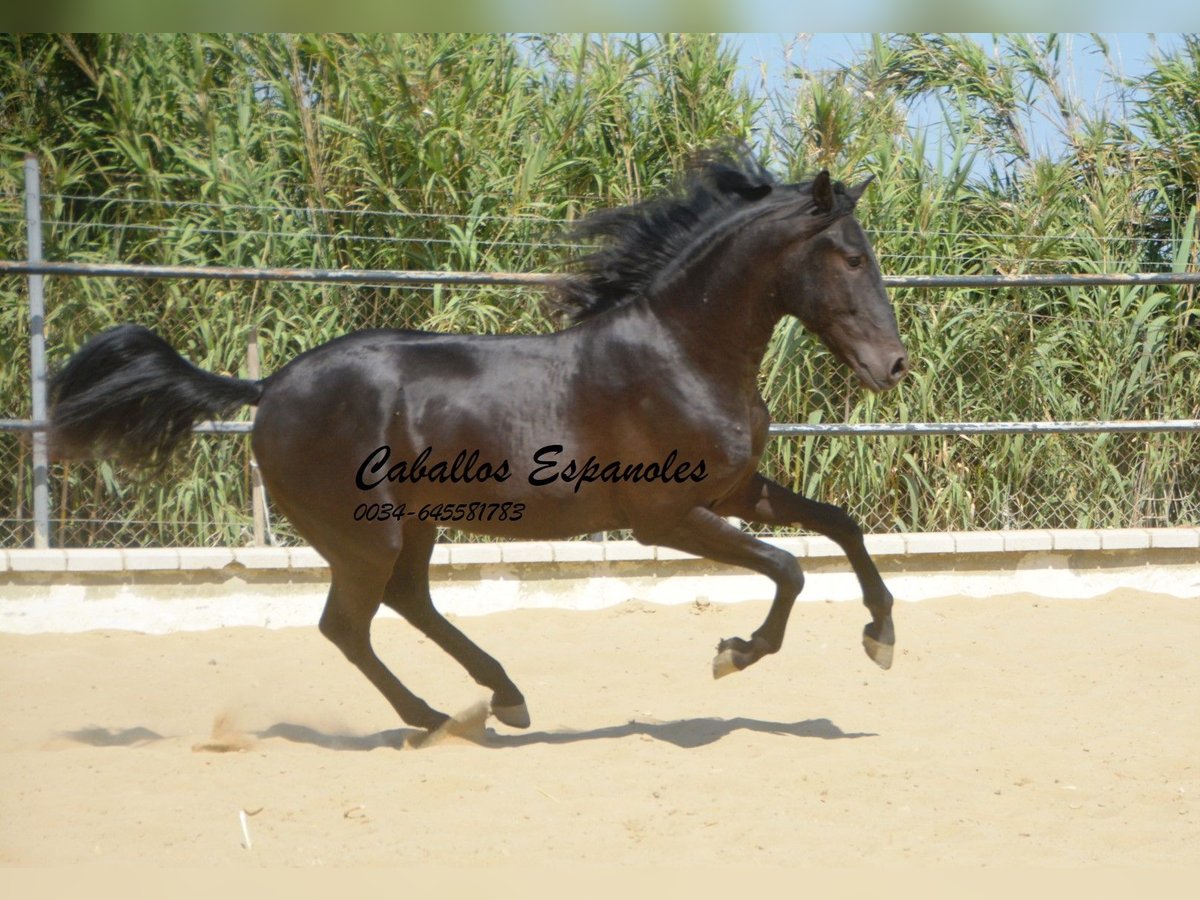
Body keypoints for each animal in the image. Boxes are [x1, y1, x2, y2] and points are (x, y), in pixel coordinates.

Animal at [51, 148, 902, 734]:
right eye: (852, 256)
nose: (894, 365)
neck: (682, 351)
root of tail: (268, 390)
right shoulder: (665, 517)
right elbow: (790, 568)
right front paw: (734, 653)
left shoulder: (735, 489)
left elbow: (841, 527)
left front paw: (881, 635)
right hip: (366, 534)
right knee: (349, 625)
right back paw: (438, 718)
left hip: (414, 525)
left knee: (406, 603)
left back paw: (504, 697)